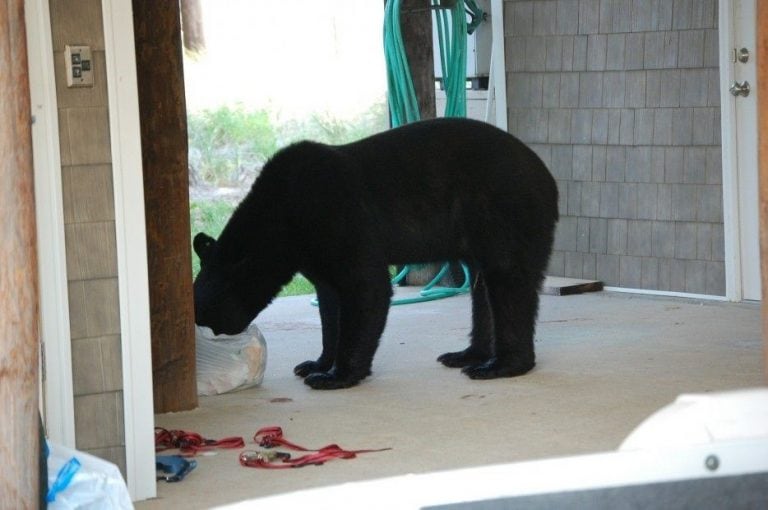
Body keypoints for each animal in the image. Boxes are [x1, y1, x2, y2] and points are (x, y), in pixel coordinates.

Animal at [194, 117, 560, 390]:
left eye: (208, 312)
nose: (211, 333)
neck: (282, 218)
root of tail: (549, 180)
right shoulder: (313, 253)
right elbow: (329, 301)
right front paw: (316, 362)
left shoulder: (338, 218)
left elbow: (366, 286)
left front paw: (334, 376)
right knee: (482, 291)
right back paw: (467, 355)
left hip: (505, 210)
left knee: (508, 281)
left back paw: (500, 366)